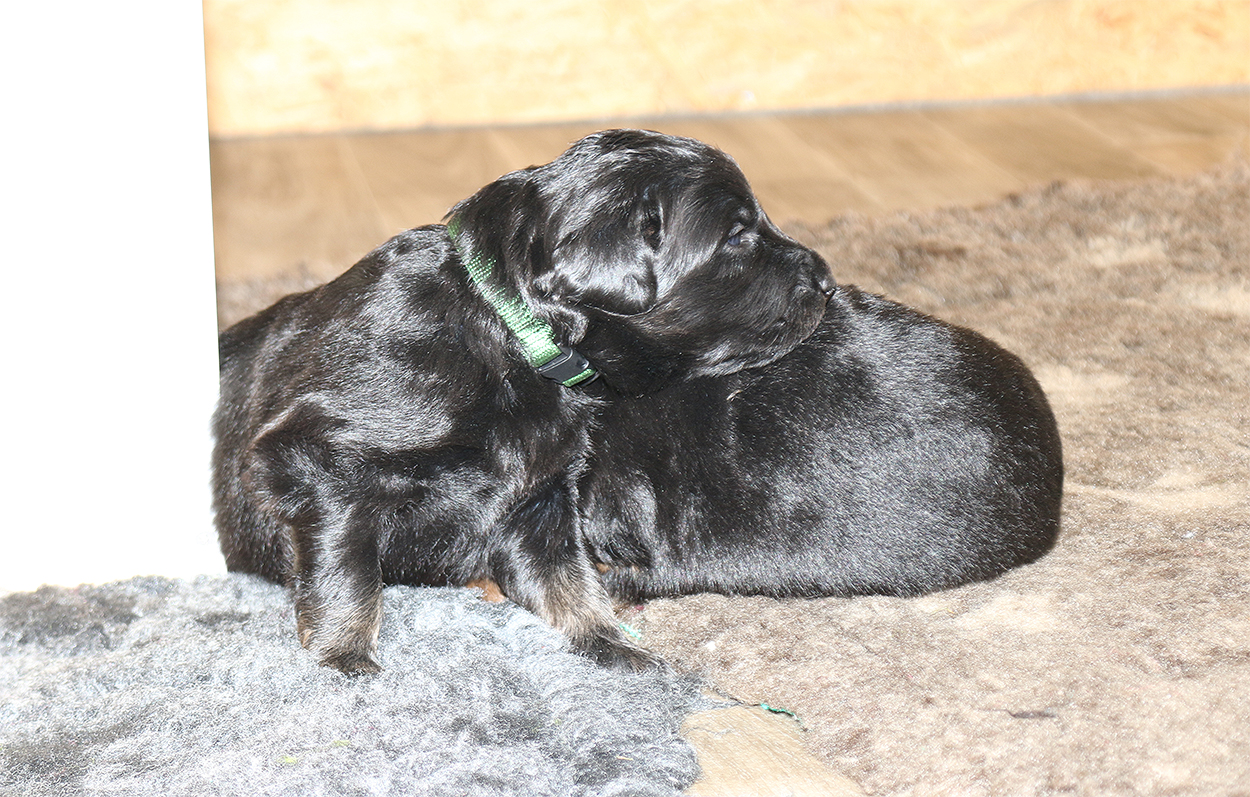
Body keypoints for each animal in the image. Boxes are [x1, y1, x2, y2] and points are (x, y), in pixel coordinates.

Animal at [212, 130, 834, 674]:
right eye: (734, 236)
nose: (828, 280)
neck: (507, 331)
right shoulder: (315, 464)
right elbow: (348, 570)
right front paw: (344, 659)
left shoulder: (540, 498)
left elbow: (567, 578)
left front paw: (611, 644)